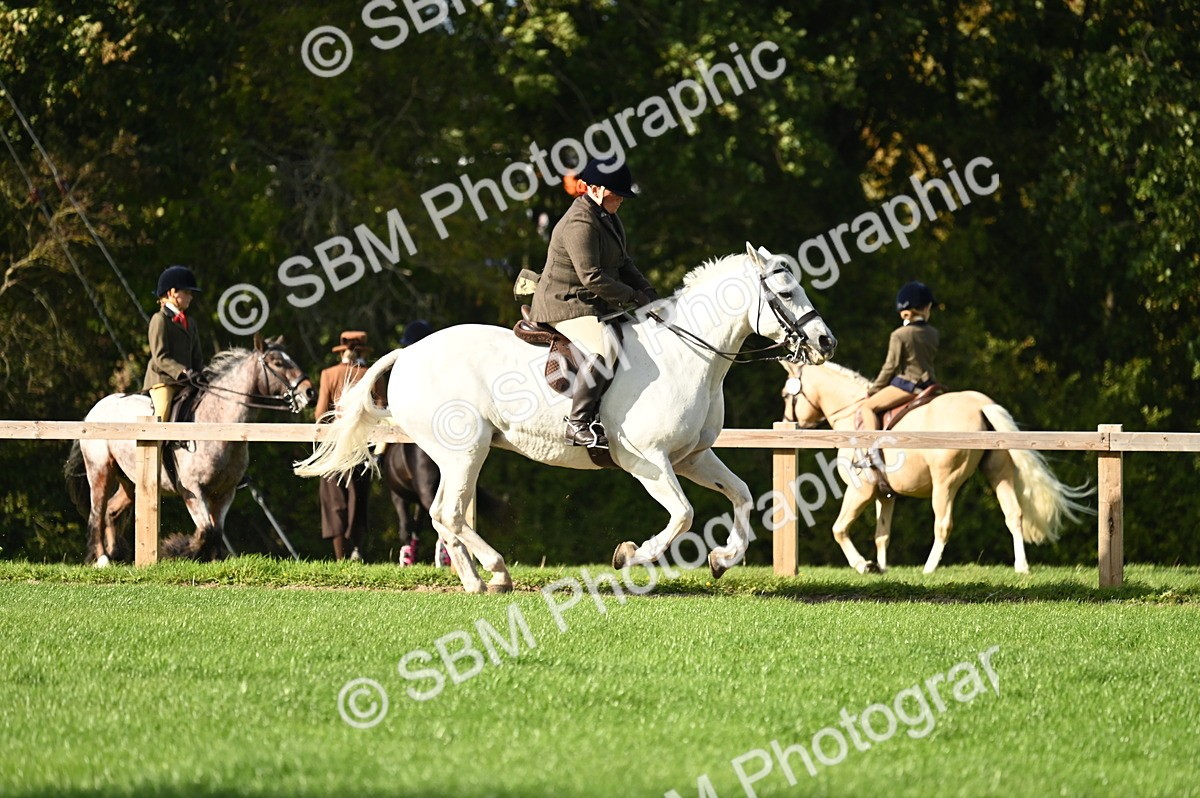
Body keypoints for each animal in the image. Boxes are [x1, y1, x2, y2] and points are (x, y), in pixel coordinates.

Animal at [65, 334, 314, 565]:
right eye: (277, 363)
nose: (309, 392)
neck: (217, 425)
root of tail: (96, 409)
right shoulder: (192, 490)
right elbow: (206, 530)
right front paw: (180, 551)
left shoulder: (225, 492)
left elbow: (216, 531)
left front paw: (211, 560)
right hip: (100, 471)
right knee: (97, 513)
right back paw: (102, 559)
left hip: (130, 481)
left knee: (111, 511)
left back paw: (116, 554)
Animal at [295, 244, 837, 593]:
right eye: (785, 293)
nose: (825, 342)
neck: (689, 355)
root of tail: (406, 354)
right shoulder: (646, 461)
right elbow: (682, 515)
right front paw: (629, 556)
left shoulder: (691, 457)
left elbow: (742, 496)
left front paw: (722, 561)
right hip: (462, 451)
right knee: (447, 513)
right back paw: (492, 575)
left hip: (462, 454)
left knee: (447, 515)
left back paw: (481, 577)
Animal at [780, 360, 1094, 573]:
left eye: (785, 394)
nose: (786, 423)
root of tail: (980, 404)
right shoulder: (885, 494)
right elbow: (882, 534)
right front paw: (881, 568)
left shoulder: (861, 491)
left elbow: (839, 529)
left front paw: (863, 565)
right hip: (998, 475)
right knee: (1013, 515)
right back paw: (1022, 566)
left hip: (945, 484)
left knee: (943, 524)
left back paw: (929, 568)